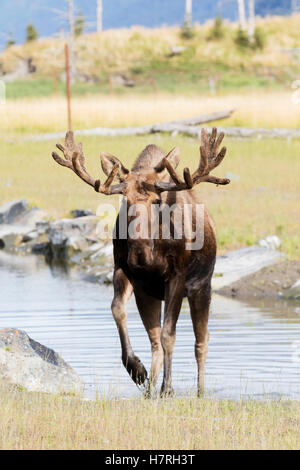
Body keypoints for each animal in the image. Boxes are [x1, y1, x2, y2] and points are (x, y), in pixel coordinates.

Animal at [52, 126, 230, 394]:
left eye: (157, 200)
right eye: (125, 199)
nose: (139, 254)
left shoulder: (176, 276)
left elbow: (169, 334)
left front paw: (167, 389)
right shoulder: (126, 272)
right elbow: (118, 310)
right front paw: (136, 369)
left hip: (202, 287)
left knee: (201, 341)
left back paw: (199, 391)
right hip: (150, 293)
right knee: (155, 340)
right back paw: (148, 390)